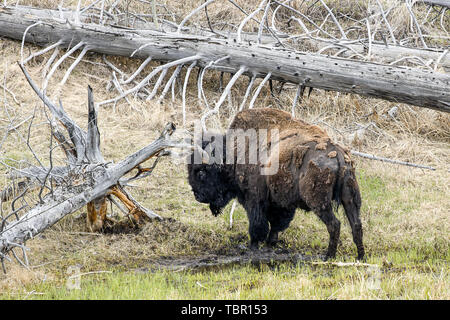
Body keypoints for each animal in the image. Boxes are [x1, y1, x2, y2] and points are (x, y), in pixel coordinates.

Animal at [187, 107, 366, 260]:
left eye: (201, 172)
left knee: (334, 224)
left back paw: (328, 256)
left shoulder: (254, 199)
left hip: (319, 202)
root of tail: (340, 155)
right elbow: (276, 224)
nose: (197, 196)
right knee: (356, 224)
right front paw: (270, 243)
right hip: (350, 198)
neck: (234, 152)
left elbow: (258, 224)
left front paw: (253, 245)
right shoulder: (281, 203)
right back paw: (360, 257)